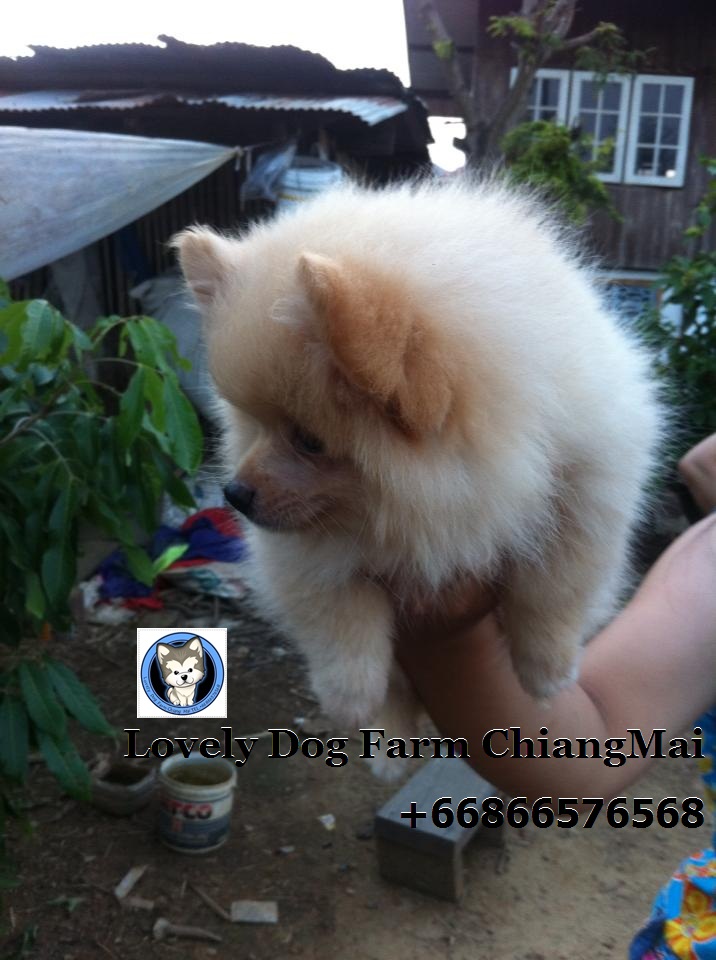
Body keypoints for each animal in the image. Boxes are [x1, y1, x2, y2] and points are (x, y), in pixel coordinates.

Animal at [174, 177, 662, 768]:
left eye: (310, 441)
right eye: (254, 423)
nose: (236, 493)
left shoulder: (592, 482)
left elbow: (557, 580)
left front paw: (547, 668)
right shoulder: (303, 549)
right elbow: (336, 610)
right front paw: (351, 695)